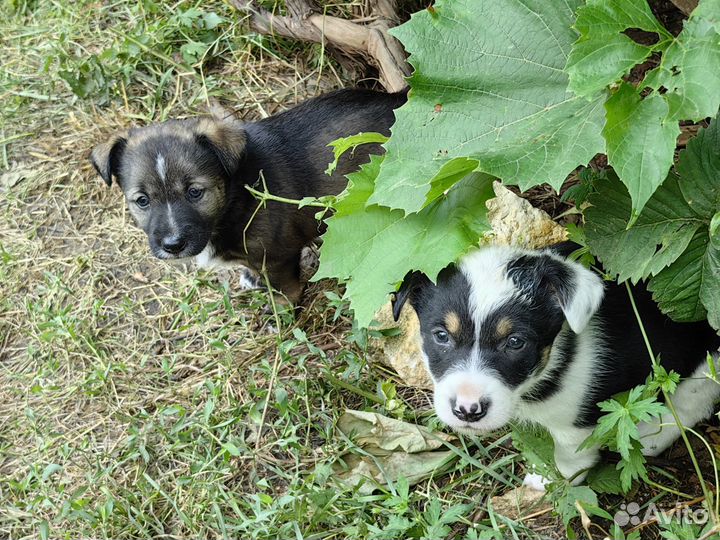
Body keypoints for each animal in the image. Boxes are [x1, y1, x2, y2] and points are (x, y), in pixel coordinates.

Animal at [89, 86, 404, 302]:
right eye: (142, 201)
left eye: (195, 192)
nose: (173, 245)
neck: (235, 197)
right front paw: (252, 279)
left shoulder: (277, 256)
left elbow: (284, 287)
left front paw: (282, 311)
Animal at [394, 245, 720, 486]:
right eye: (441, 336)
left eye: (515, 342)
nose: (467, 410)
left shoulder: (574, 426)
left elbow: (568, 459)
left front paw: (546, 483)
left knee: (692, 403)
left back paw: (652, 434)